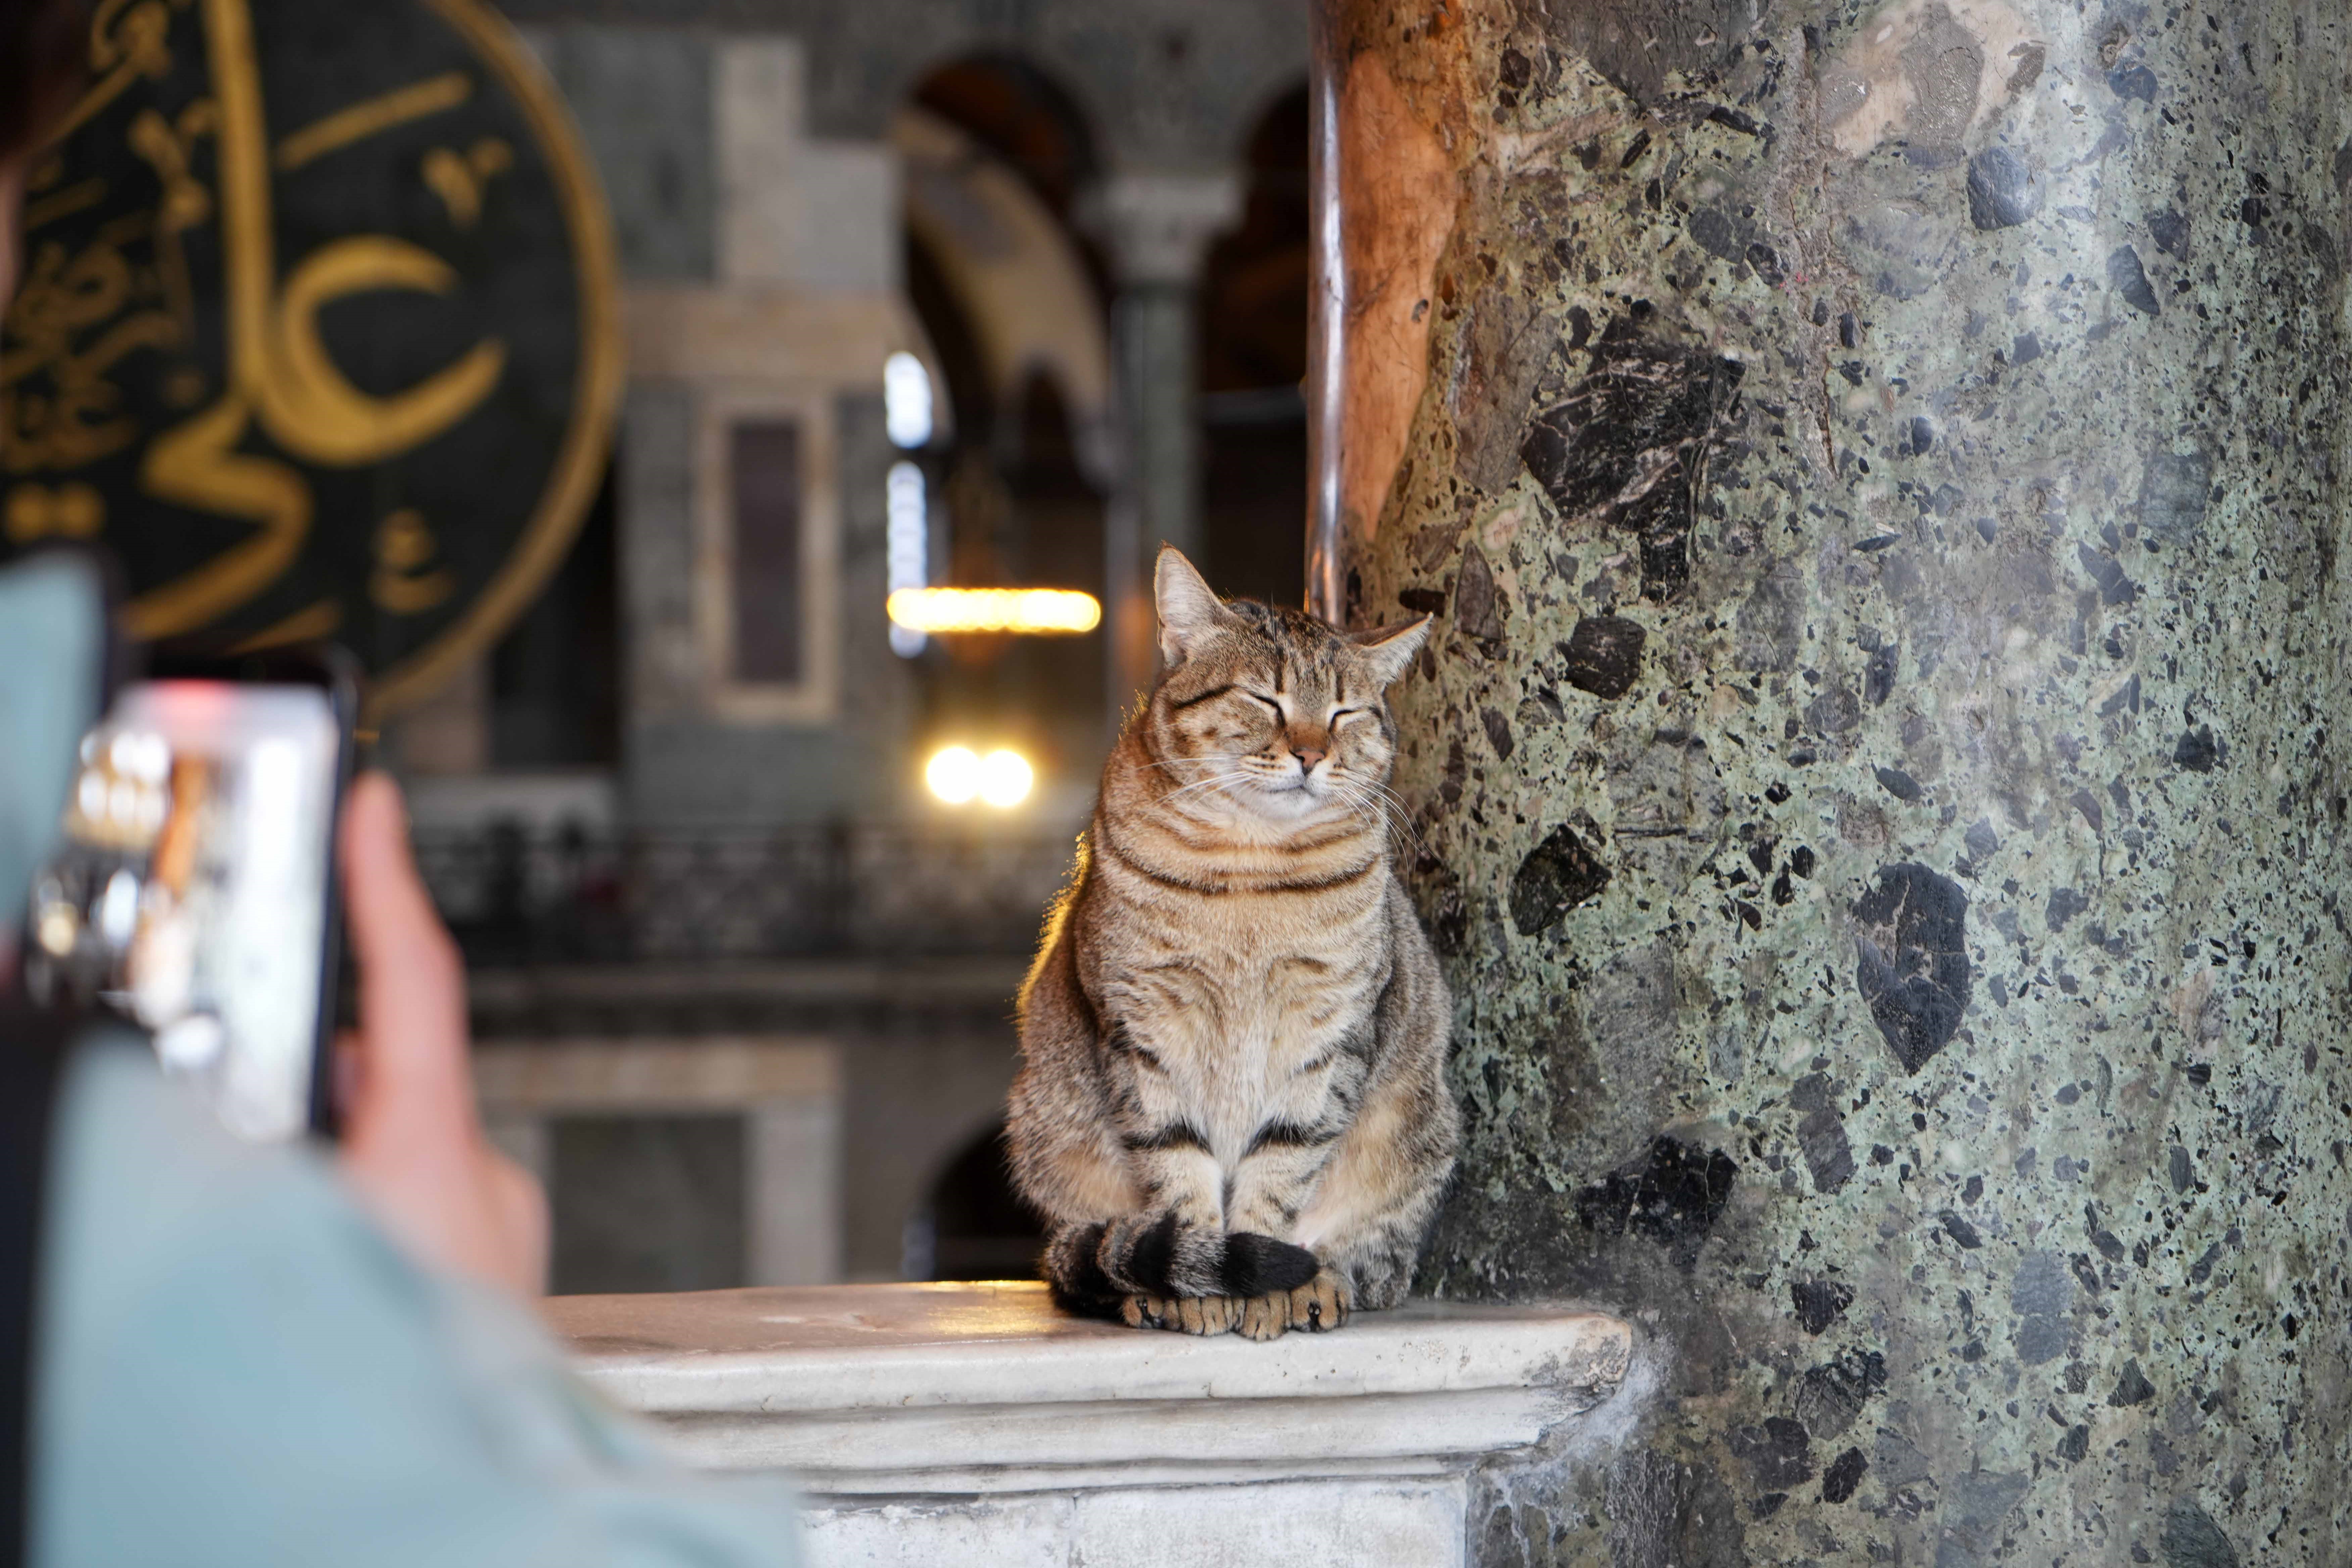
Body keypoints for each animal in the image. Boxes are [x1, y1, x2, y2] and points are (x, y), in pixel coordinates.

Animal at [1007, 550, 1449, 1335]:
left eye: (1344, 711)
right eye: (1265, 699)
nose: (1310, 752)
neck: (1251, 863)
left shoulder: (1328, 1030)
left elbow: (1282, 1165)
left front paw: (1266, 1284)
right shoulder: (1143, 1027)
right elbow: (1178, 1166)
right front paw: (1200, 1281)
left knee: (1371, 1262)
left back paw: (1316, 1281)